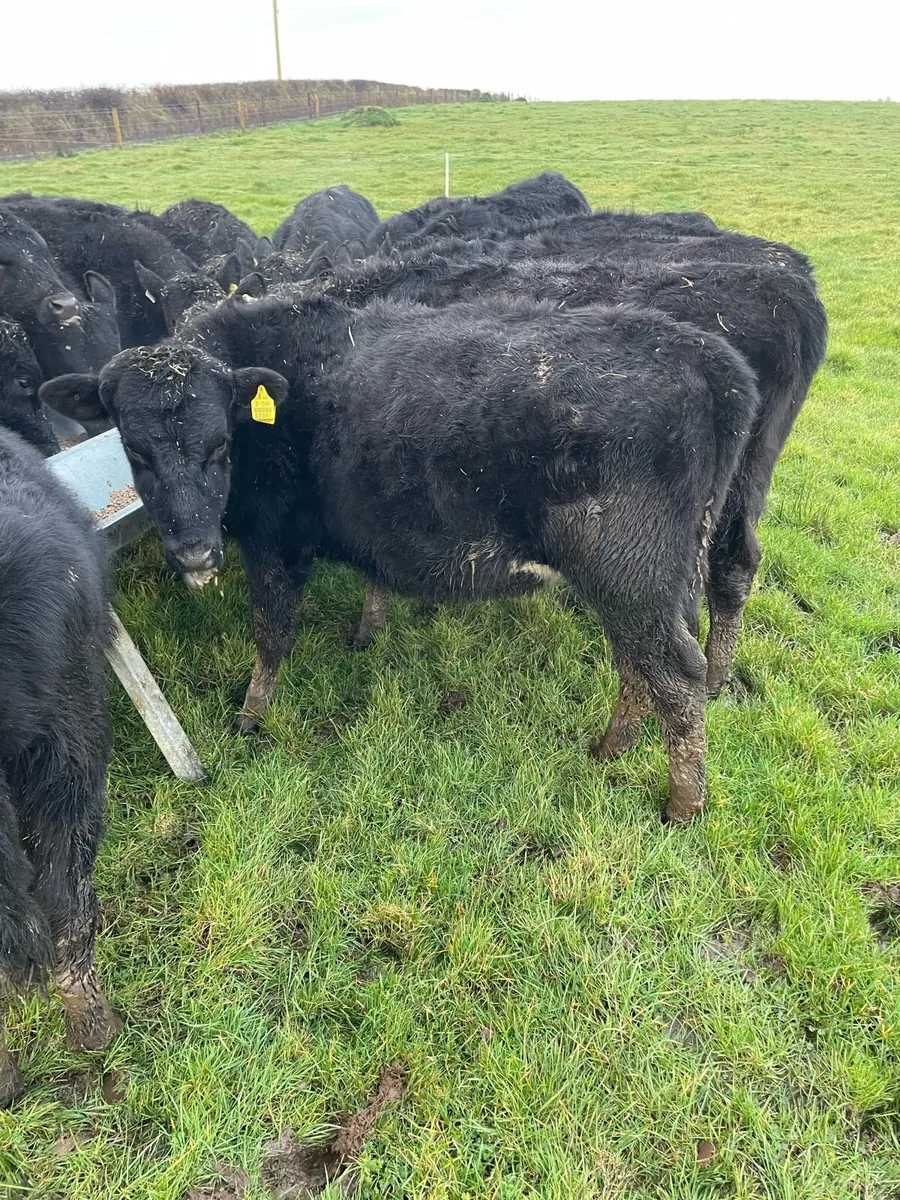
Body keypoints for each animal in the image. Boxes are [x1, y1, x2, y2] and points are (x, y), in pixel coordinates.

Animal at [43, 292, 761, 823]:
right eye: (135, 449)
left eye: (220, 444)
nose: (194, 551)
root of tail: (707, 358)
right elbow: (369, 581)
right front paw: (366, 630)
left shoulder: (274, 541)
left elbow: (271, 635)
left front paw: (250, 719)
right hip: (652, 580)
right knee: (640, 663)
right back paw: (611, 748)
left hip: (631, 575)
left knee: (677, 675)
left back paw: (682, 804)